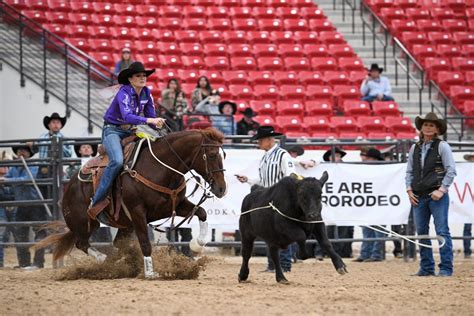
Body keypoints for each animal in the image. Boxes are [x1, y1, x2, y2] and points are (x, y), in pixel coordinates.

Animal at [38, 127, 227, 278]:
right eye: (211, 155)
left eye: (223, 155)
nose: (221, 189)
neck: (160, 168)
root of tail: (67, 188)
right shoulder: (137, 212)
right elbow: (145, 242)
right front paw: (150, 273)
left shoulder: (174, 206)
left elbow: (201, 212)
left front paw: (198, 244)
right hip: (85, 222)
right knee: (81, 243)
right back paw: (103, 259)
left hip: (124, 225)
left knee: (116, 245)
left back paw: (114, 263)